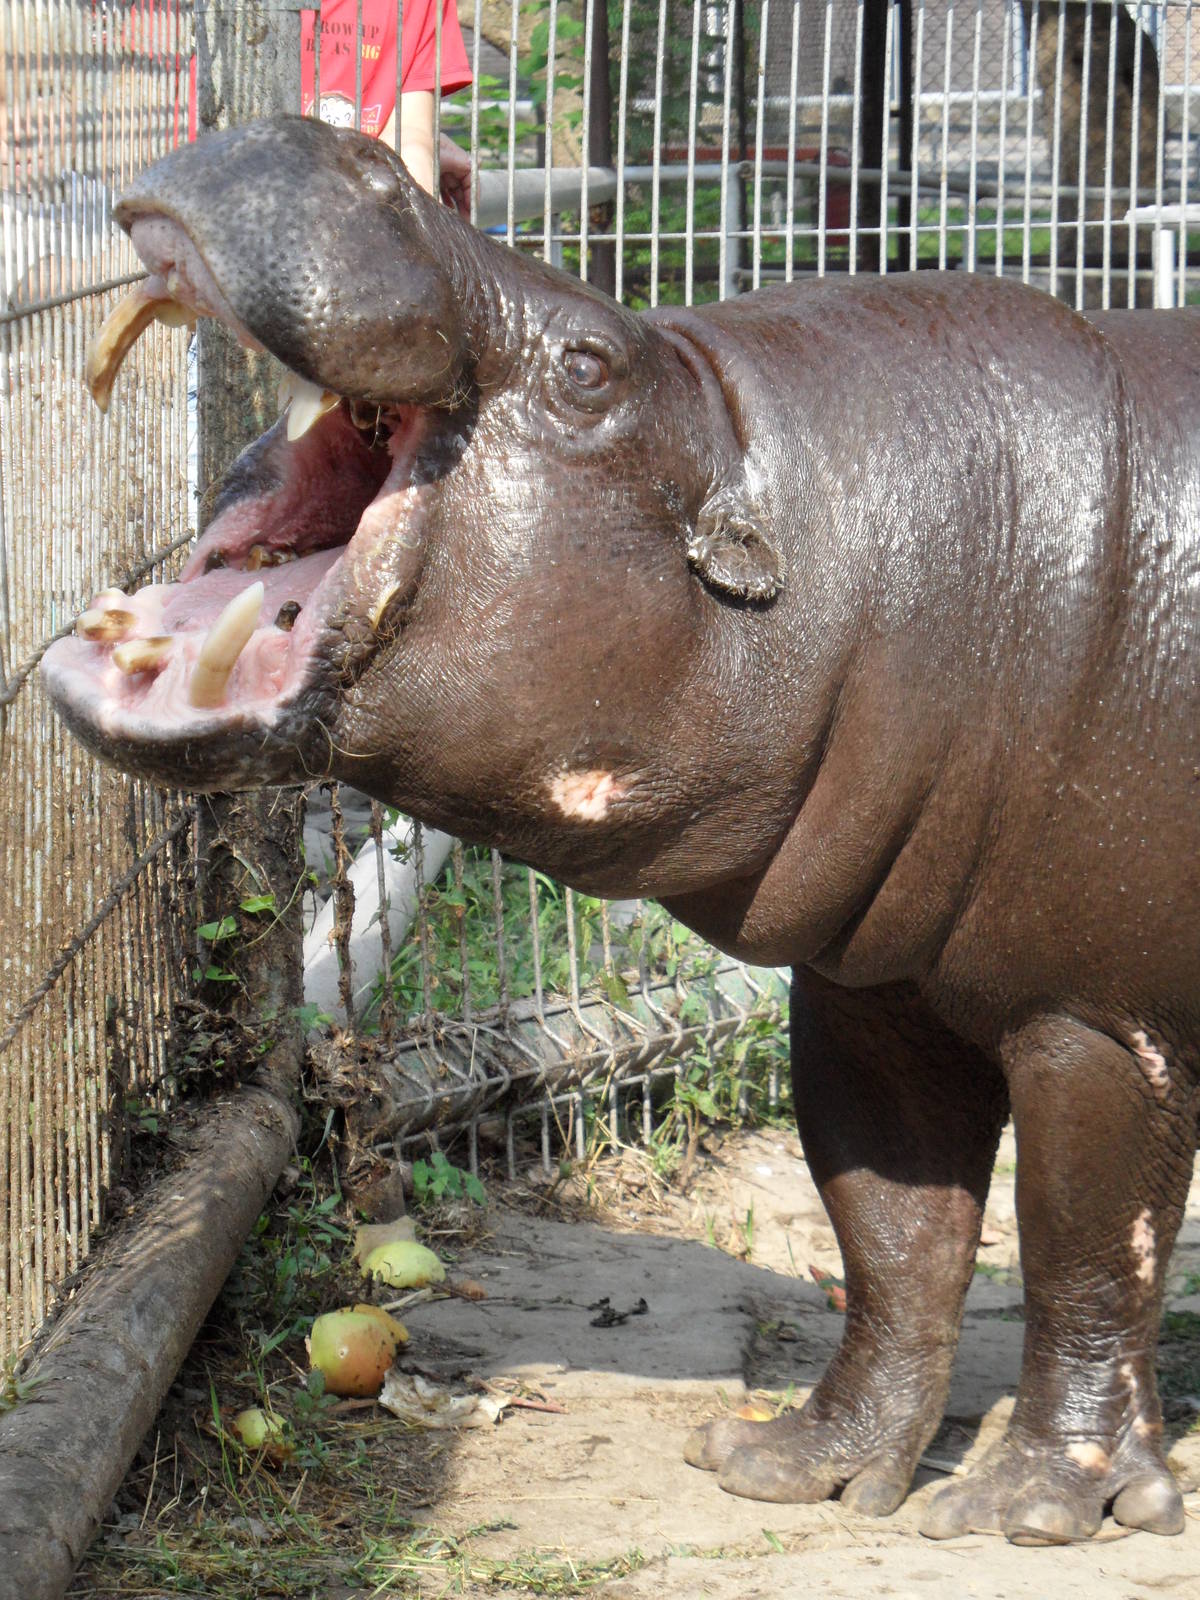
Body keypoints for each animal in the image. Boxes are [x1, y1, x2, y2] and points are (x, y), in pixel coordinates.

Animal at [42, 116, 1200, 1546]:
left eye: (590, 367)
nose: (315, 139)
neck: (798, 503)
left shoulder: (1101, 1012)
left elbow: (1086, 1246)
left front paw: (1025, 1507)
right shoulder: (871, 987)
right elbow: (892, 1230)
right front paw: (788, 1463)